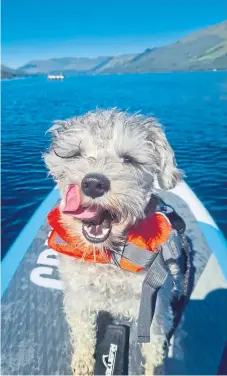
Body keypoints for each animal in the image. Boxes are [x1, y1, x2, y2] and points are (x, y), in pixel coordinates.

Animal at [44, 108, 183, 374]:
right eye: (75, 154)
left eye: (129, 159)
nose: (93, 183)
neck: (110, 256)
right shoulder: (78, 295)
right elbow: (83, 331)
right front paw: (82, 363)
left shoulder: (153, 305)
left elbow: (153, 345)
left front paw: (154, 367)